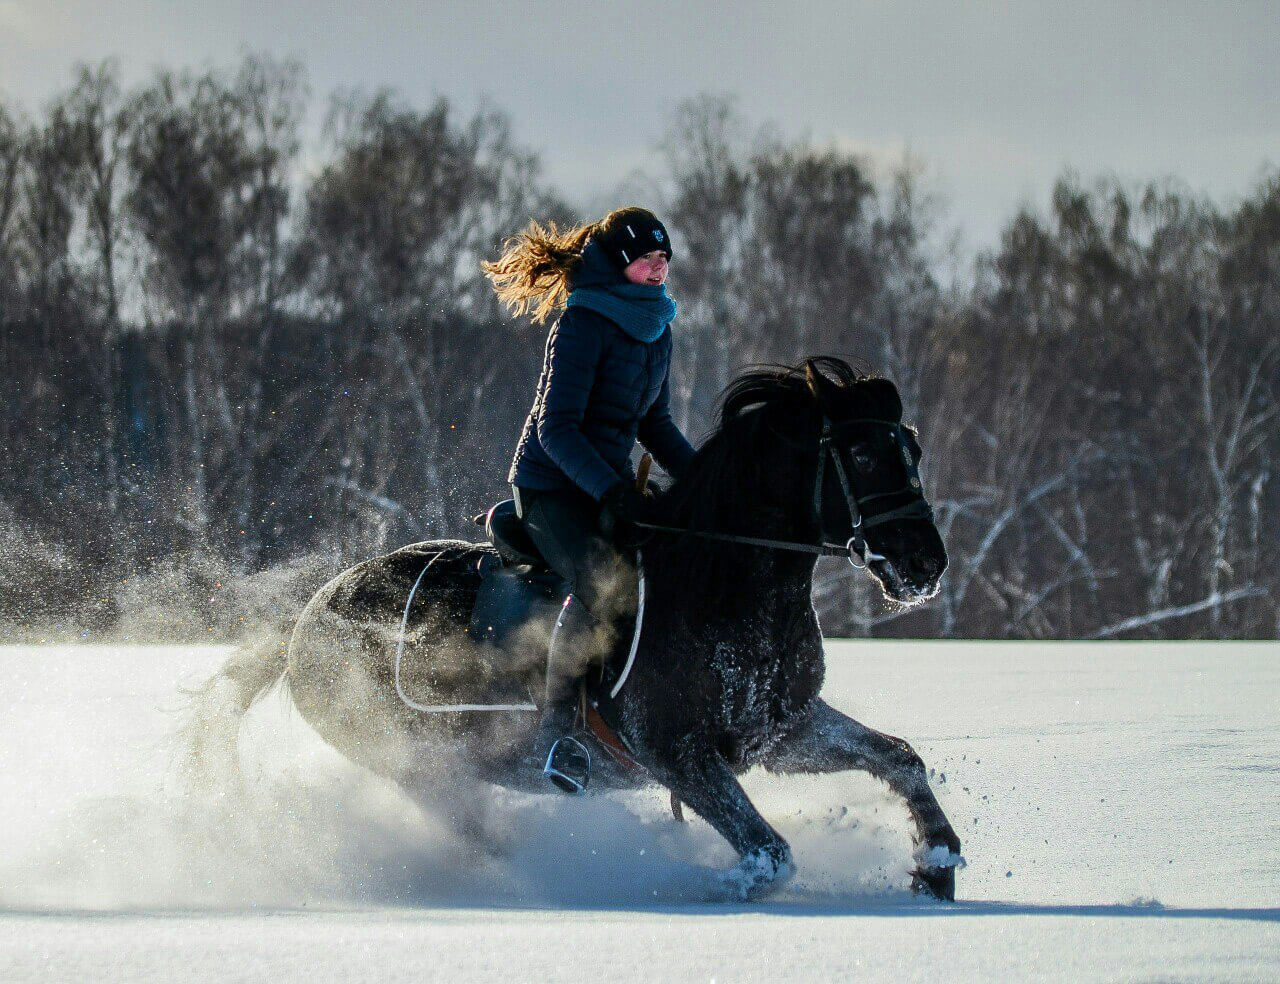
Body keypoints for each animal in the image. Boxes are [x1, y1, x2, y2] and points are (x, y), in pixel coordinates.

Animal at [199, 358, 962, 900]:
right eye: (861, 455)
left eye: (914, 450)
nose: (925, 563)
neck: (720, 582)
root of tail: (306, 618)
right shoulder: (675, 752)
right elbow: (769, 855)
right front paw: (708, 884)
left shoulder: (780, 730)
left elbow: (899, 757)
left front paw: (937, 865)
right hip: (418, 767)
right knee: (475, 833)